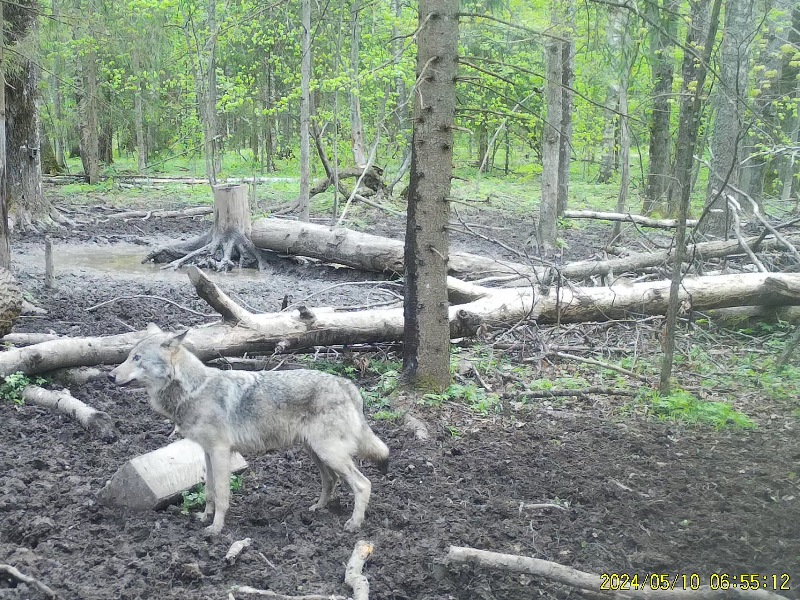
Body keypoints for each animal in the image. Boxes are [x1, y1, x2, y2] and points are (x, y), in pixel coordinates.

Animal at [108, 323, 389, 535]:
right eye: (128, 355)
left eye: (137, 358)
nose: (110, 376)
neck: (192, 391)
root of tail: (346, 383)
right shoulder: (207, 453)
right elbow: (209, 491)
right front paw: (204, 517)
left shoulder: (221, 452)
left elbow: (222, 494)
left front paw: (216, 529)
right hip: (317, 453)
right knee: (331, 481)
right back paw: (317, 509)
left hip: (329, 454)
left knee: (363, 484)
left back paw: (353, 524)